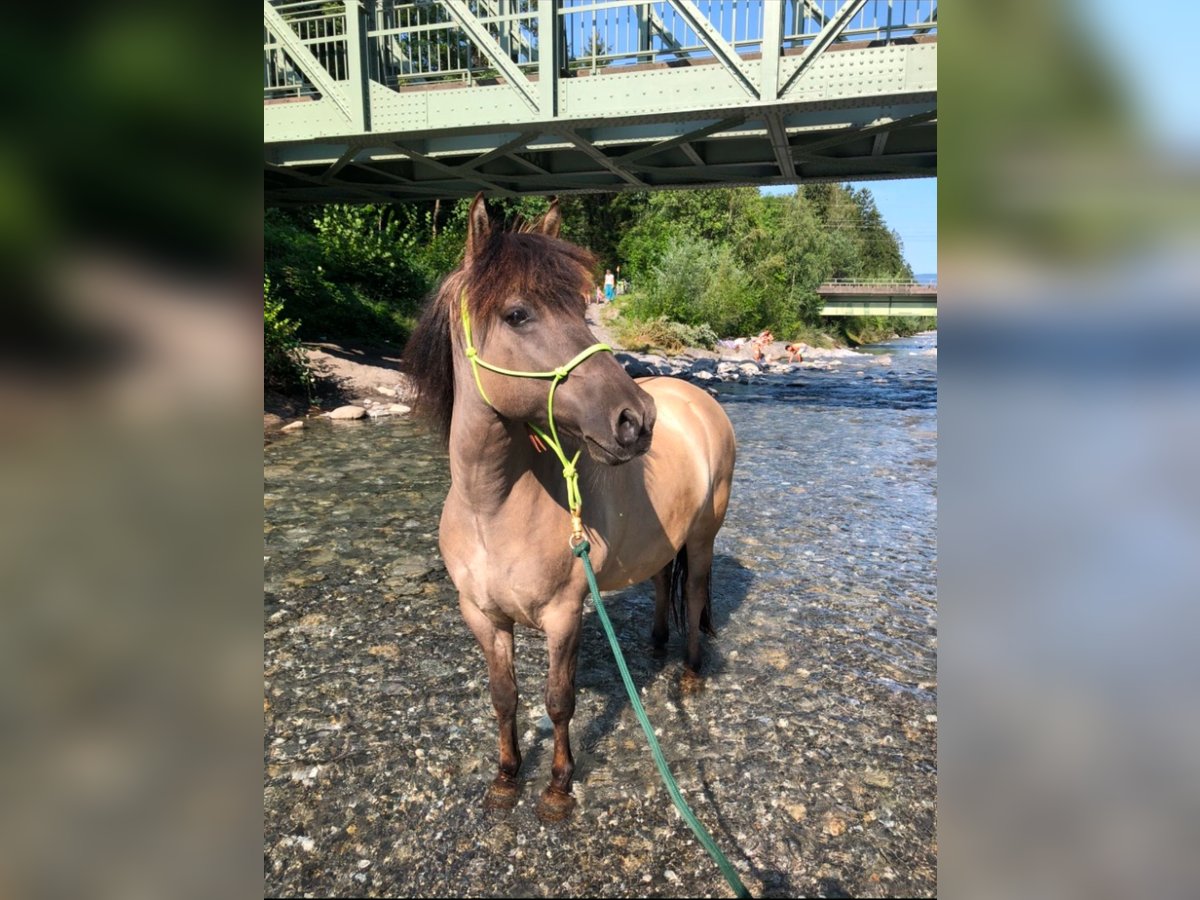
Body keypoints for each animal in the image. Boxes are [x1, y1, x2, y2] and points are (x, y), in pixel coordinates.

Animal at [408, 196, 734, 825]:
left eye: (583, 307)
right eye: (517, 314)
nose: (637, 419)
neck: (493, 509)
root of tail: (696, 400)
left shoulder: (564, 614)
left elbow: (559, 701)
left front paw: (558, 789)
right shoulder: (483, 616)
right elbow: (503, 696)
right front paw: (506, 778)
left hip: (704, 537)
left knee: (695, 592)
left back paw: (687, 674)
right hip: (663, 541)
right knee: (662, 583)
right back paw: (654, 647)